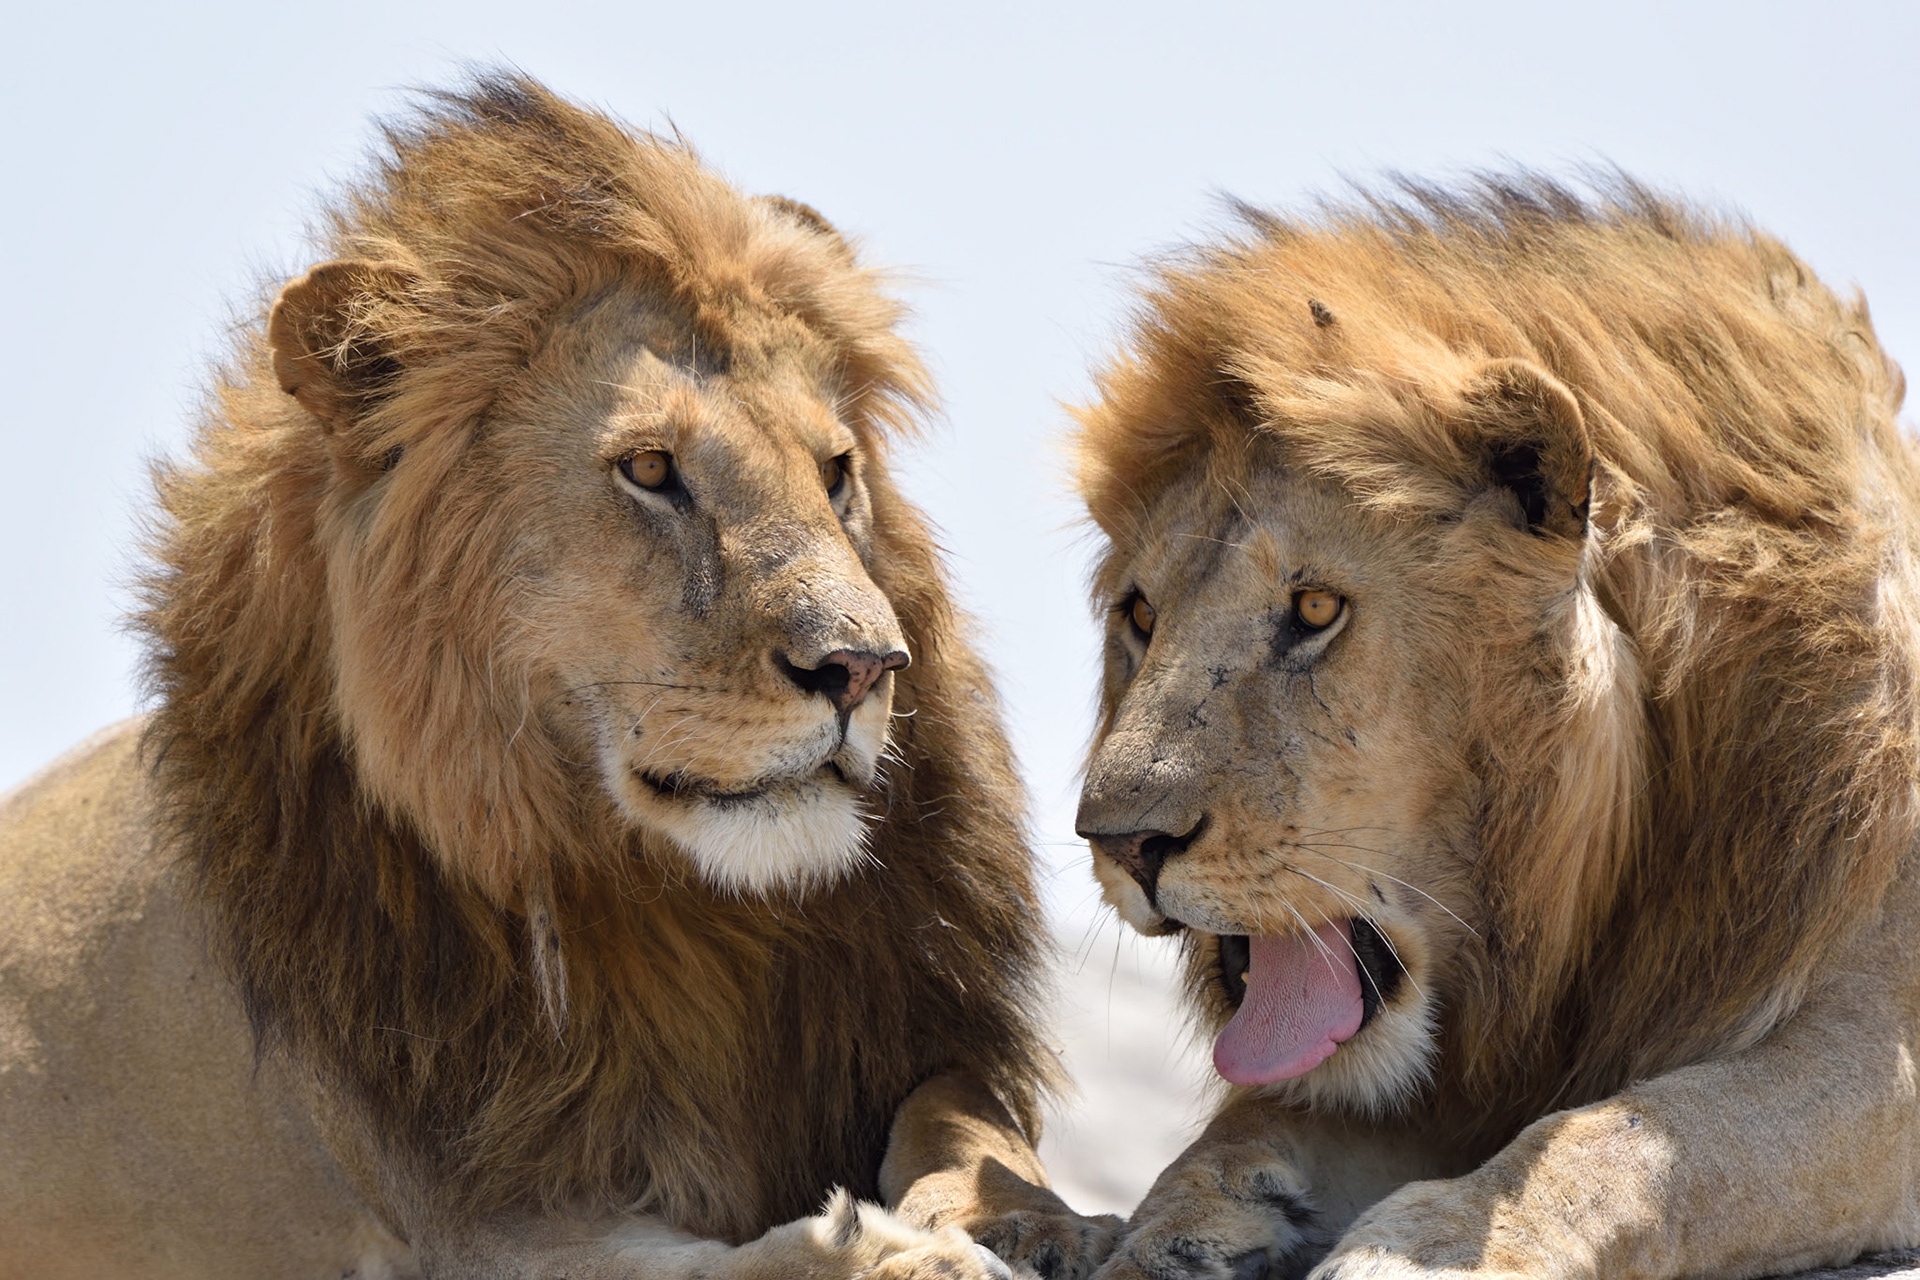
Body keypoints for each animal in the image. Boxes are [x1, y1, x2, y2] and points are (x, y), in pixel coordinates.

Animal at [0, 75, 1117, 1280]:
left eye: (834, 472)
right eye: (650, 469)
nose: (867, 666)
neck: (685, 910)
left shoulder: (913, 1029)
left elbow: (962, 1121)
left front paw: (1034, 1222)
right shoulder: (471, 1210)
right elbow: (694, 1261)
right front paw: (883, 1253)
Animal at [1069, 178, 1920, 1280]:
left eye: (1314, 608)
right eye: (1141, 614)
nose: (1121, 842)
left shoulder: (1877, 1049)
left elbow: (1637, 1137)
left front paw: (1435, 1245)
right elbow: (1244, 1127)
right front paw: (1171, 1233)